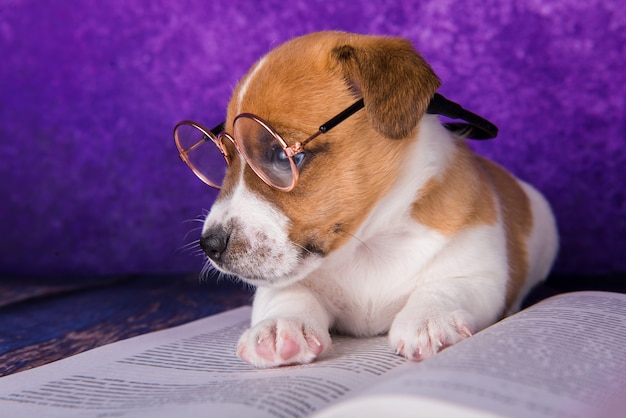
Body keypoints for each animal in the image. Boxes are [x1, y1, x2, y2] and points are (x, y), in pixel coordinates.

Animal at [183, 31, 552, 368]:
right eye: (227, 159)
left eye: (279, 156)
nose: (209, 245)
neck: (368, 245)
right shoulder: (281, 283)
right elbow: (289, 294)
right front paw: (279, 326)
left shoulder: (478, 275)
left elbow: (443, 288)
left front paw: (431, 318)